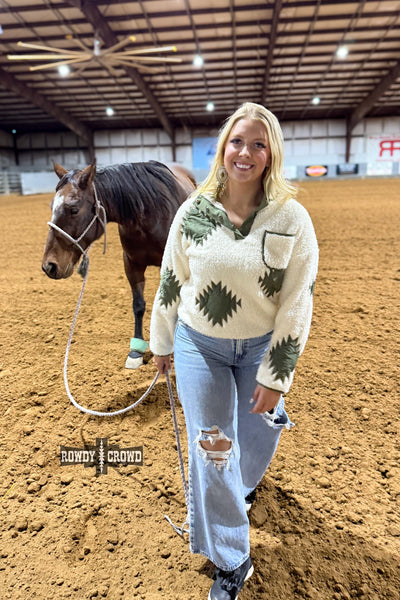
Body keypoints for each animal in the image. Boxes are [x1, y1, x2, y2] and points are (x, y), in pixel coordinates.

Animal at [42, 160, 196, 368]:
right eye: (52, 206)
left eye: (73, 209)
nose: (49, 266)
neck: (149, 215)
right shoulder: (131, 265)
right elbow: (138, 305)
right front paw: (136, 350)